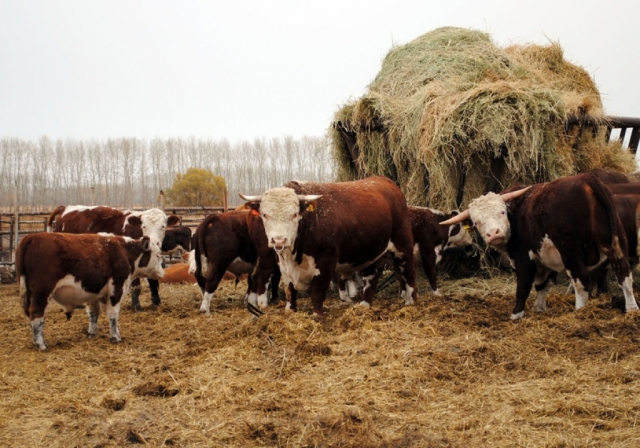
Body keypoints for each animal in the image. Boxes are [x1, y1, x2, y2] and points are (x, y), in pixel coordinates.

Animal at [239, 175, 416, 316]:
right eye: (265, 215)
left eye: (294, 214)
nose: (279, 241)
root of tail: (385, 181)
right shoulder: (283, 265)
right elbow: (290, 290)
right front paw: (291, 310)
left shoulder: (326, 262)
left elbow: (317, 292)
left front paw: (317, 315)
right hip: (372, 251)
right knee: (372, 276)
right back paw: (365, 304)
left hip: (402, 244)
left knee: (408, 271)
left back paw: (411, 301)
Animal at [442, 172, 636, 318]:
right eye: (477, 222)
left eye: (502, 212)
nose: (493, 234)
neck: (517, 211)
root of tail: (587, 179)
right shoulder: (545, 258)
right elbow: (543, 285)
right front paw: (539, 308)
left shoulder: (524, 257)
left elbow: (523, 286)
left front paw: (517, 314)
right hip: (615, 243)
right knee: (624, 274)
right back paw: (632, 309)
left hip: (570, 251)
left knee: (581, 280)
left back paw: (580, 311)